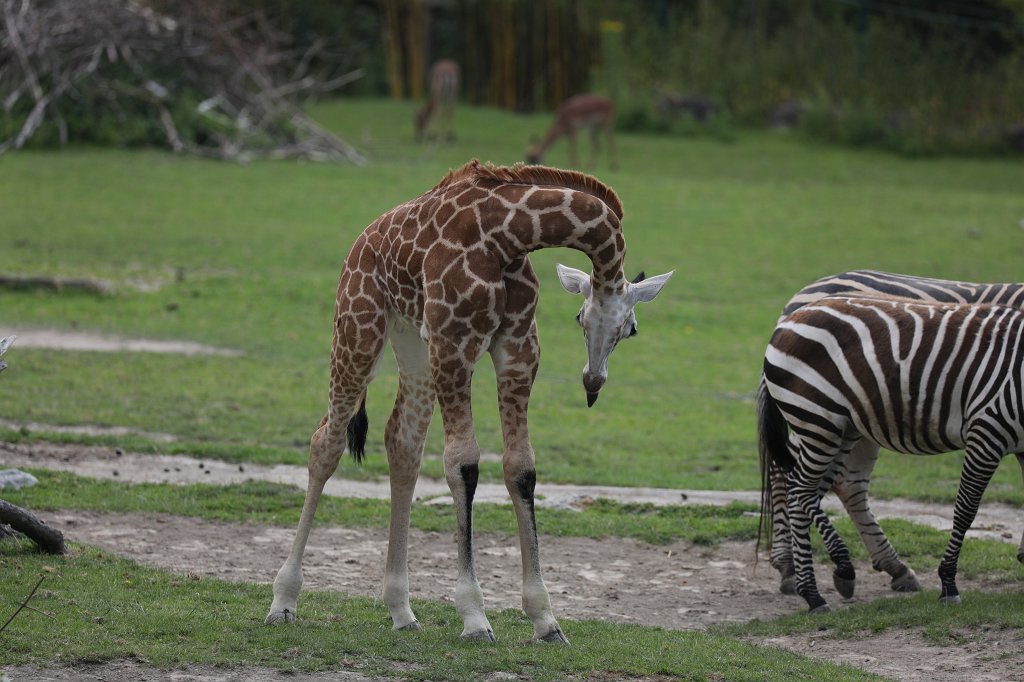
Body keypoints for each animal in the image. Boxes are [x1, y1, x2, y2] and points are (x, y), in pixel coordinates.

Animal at [265, 159, 673, 643]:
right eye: (579, 317)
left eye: (630, 330)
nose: (592, 383)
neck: (507, 235)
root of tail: (360, 241)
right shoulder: (454, 343)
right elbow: (463, 463)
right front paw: (475, 616)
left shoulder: (518, 347)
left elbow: (521, 467)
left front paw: (545, 619)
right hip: (358, 328)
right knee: (326, 441)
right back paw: (283, 601)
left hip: (413, 345)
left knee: (403, 443)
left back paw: (401, 611)